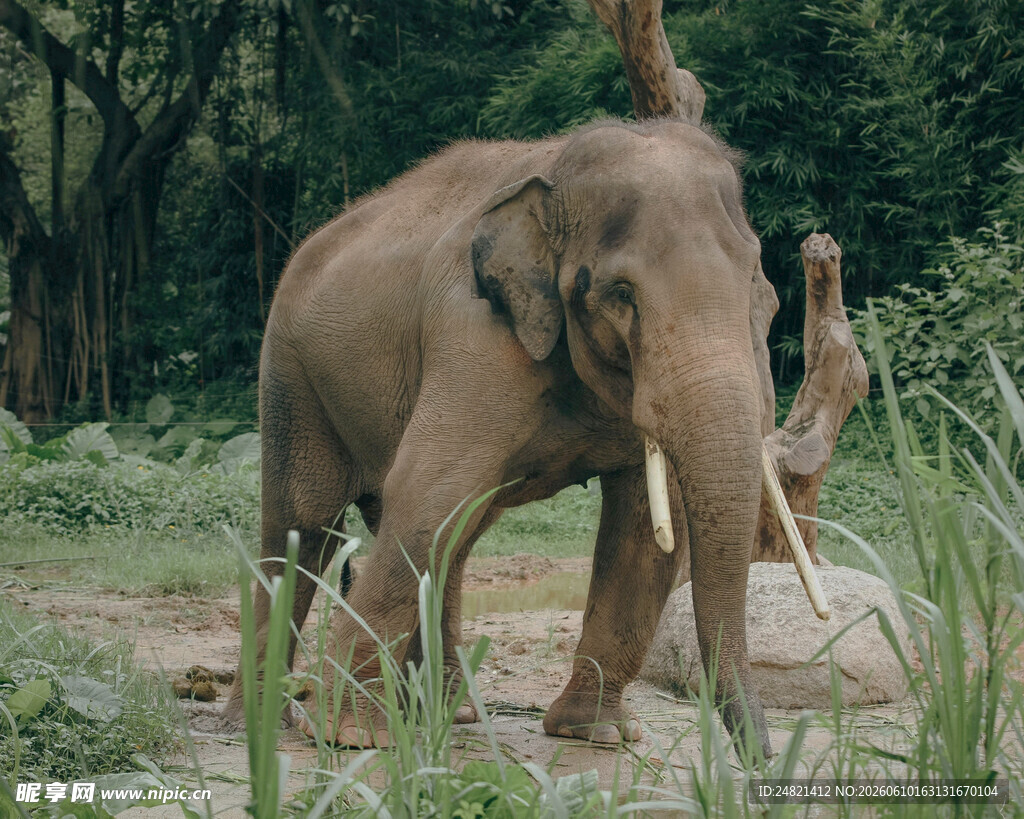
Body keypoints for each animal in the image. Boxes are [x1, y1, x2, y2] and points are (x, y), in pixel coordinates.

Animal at [223, 117, 775, 758]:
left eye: (759, 287)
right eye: (621, 293)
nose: (762, 761)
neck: (557, 174)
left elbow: (645, 529)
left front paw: (598, 732)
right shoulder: (473, 332)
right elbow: (429, 487)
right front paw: (349, 735)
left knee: (452, 535)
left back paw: (440, 713)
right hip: (290, 376)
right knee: (303, 527)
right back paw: (258, 723)